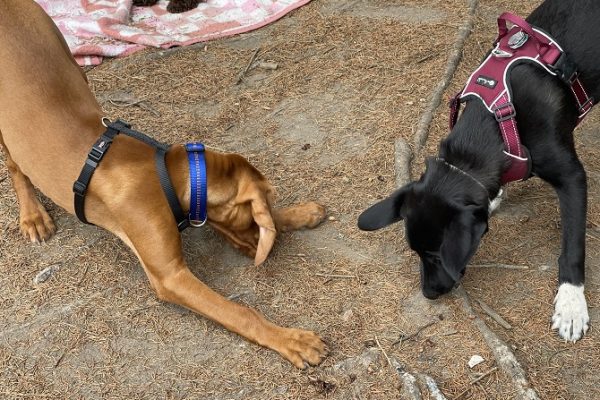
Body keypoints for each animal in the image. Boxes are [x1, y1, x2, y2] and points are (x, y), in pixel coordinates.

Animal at [1, 0, 328, 368]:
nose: (266, 247)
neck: (169, 173)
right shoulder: (171, 276)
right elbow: (241, 312)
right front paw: (291, 339)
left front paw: (301, 213)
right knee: (14, 164)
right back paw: (32, 216)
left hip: (69, 59)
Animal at [358, 0, 596, 344]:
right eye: (416, 252)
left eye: (437, 255)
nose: (429, 294)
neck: (497, 122)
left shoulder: (572, 177)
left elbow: (573, 245)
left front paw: (571, 304)